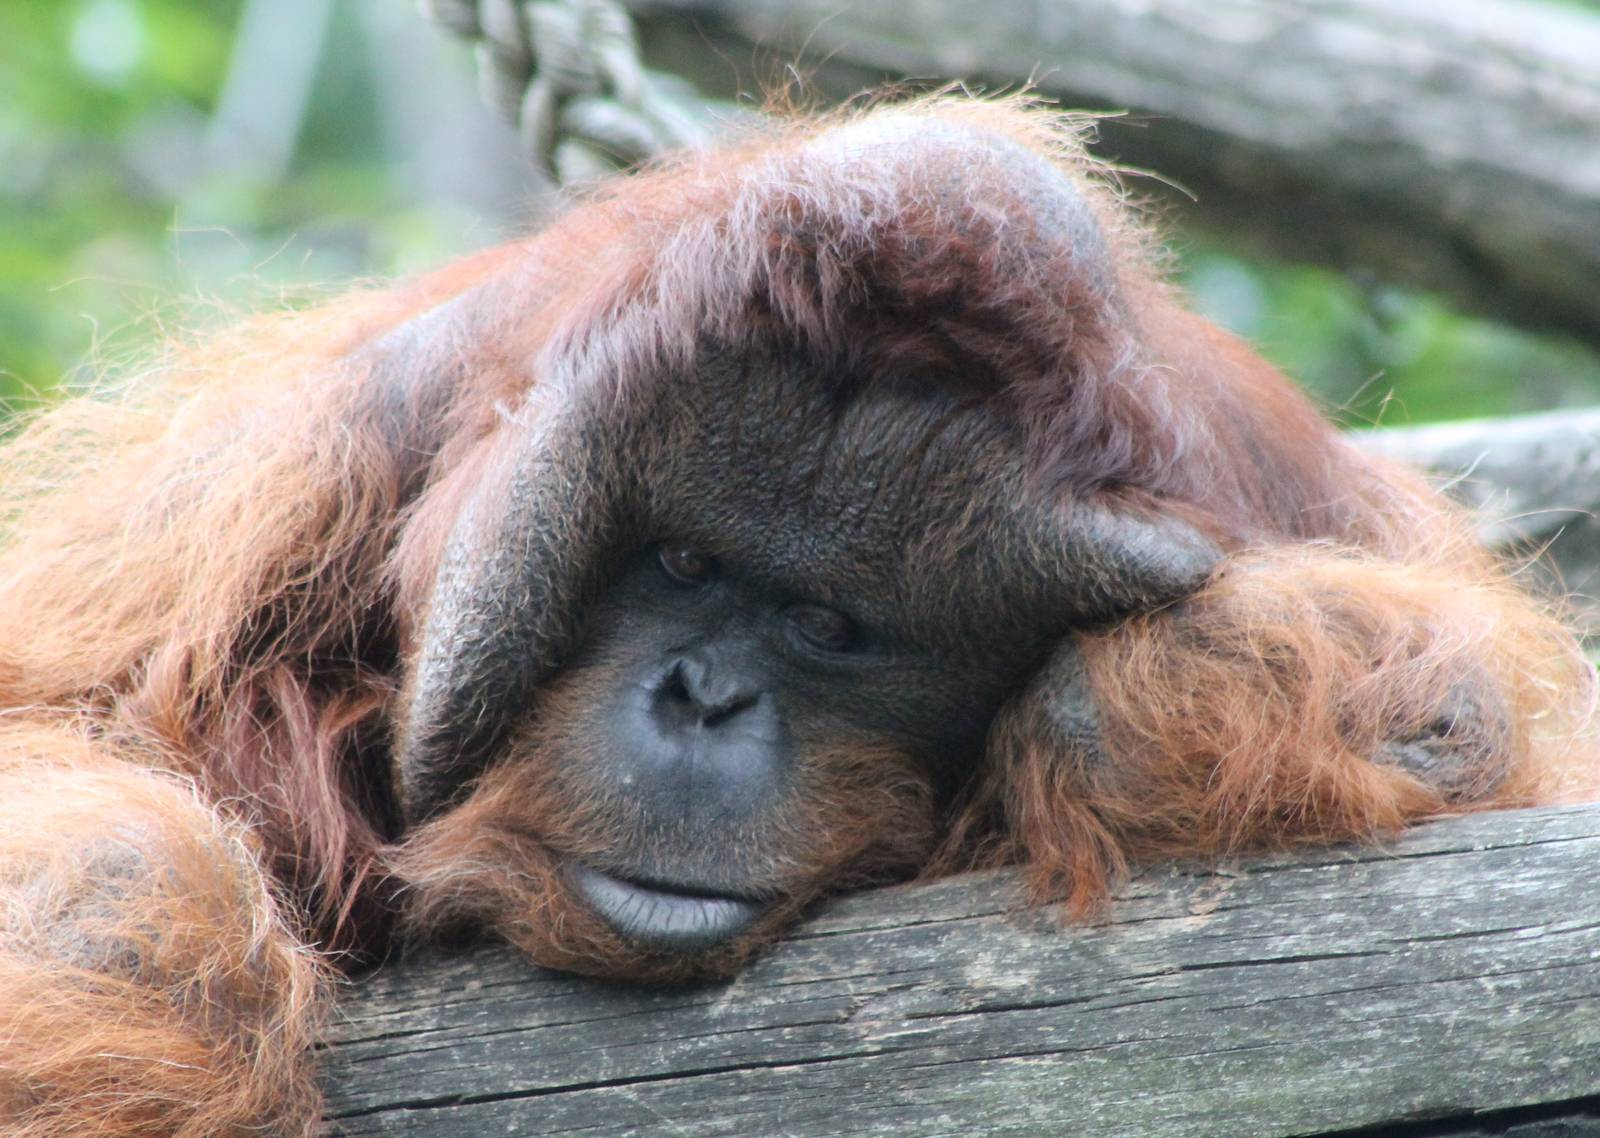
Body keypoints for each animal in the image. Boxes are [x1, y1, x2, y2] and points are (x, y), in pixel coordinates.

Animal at [0, 97, 1592, 1137]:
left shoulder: (1284, 492)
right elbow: (83, 772)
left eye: (830, 624)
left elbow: (1471, 742)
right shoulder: (332, 446)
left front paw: (1134, 720)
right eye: (683, 567)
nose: (705, 696)